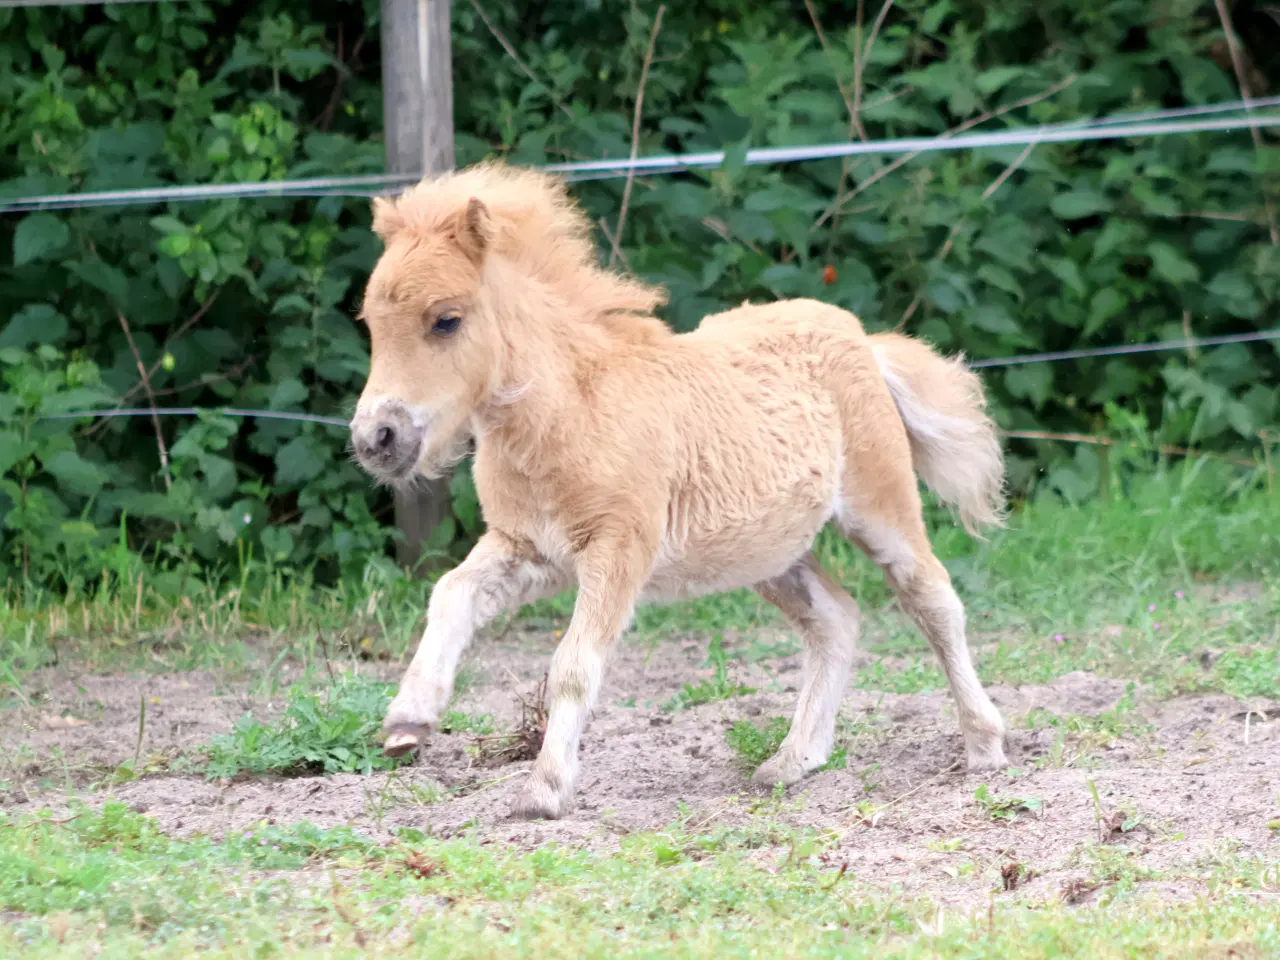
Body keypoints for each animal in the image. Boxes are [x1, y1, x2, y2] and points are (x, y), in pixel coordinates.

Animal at [353, 161, 1008, 824]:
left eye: (446, 319)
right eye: (371, 324)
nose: (376, 437)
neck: (569, 412)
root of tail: (861, 338)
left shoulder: (619, 546)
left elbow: (573, 665)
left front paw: (544, 790)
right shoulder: (530, 548)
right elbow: (451, 593)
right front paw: (409, 720)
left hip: (880, 506)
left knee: (933, 600)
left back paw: (984, 745)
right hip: (768, 552)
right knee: (836, 619)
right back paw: (793, 760)